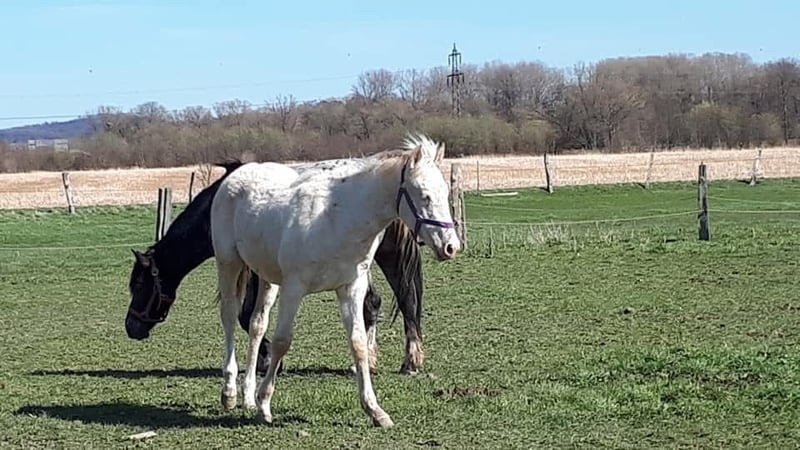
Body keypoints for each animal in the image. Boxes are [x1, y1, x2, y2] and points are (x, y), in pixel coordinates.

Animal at [125, 161, 428, 376]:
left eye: (139, 284)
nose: (131, 326)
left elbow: (246, 316)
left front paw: (268, 358)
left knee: (388, 301)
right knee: (390, 301)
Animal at [211, 134, 459, 427]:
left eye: (445, 193)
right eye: (424, 195)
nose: (451, 247)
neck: (337, 217)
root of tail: (236, 176)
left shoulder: (351, 287)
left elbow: (359, 344)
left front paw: (375, 410)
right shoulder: (294, 288)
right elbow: (283, 341)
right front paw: (265, 404)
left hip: (266, 277)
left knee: (257, 325)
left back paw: (247, 396)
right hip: (229, 264)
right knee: (229, 316)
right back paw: (229, 392)